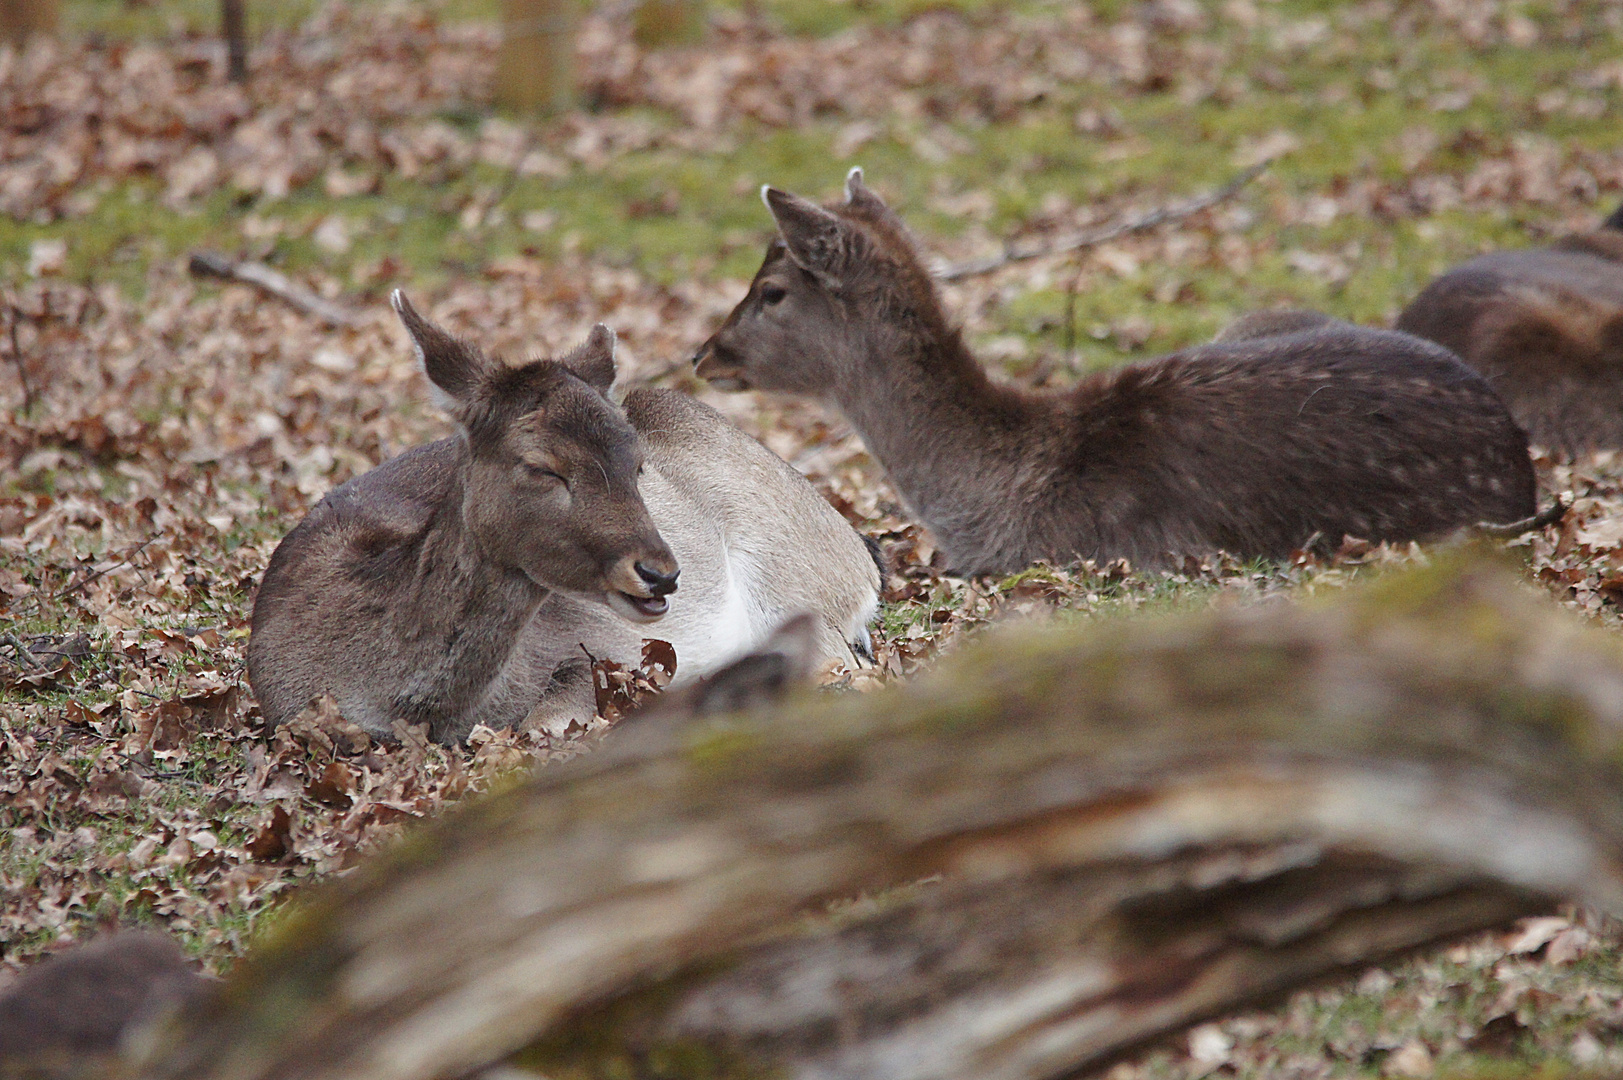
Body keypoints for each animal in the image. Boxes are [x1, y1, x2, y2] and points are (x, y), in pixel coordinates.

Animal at [248, 290, 882, 740]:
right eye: (541, 467)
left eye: (637, 462)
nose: (661, 573)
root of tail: (864, 558)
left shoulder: (602, 651)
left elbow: (543, 723)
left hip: (798, 581)